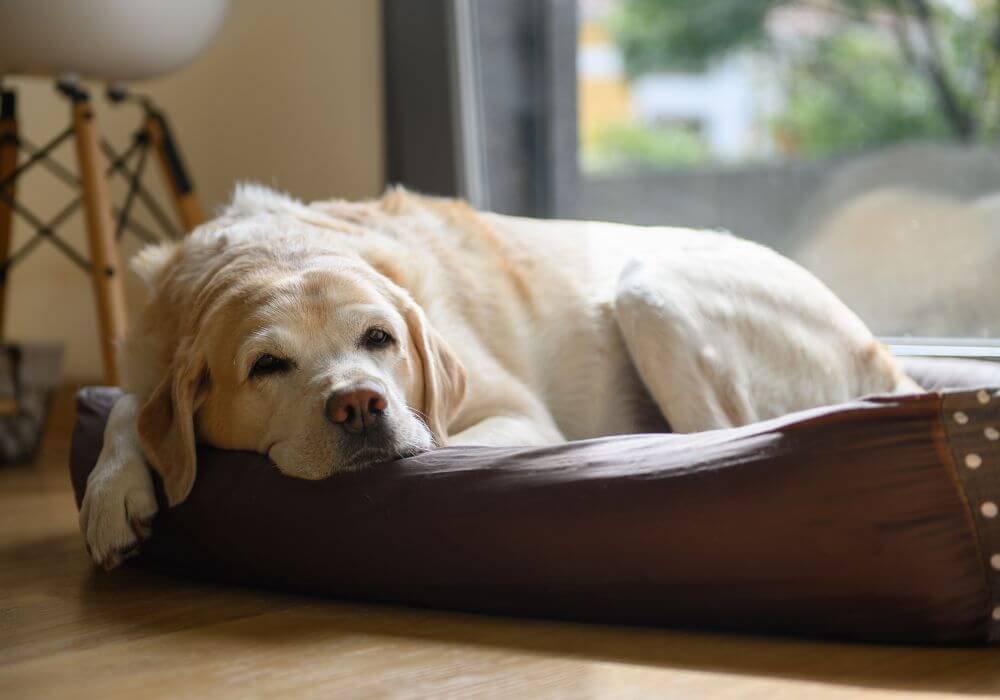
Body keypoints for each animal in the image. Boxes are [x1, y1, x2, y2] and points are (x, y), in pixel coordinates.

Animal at [80, 185, 920, 568]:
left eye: (380, 339)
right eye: (267, 366)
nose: (360, 405)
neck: (273, 246)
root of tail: (888, 358)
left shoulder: (508, 410)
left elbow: (449, 442)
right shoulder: (149, 359)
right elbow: (128, 408)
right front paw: (113, 492)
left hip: (649, 289)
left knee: (725, 437)